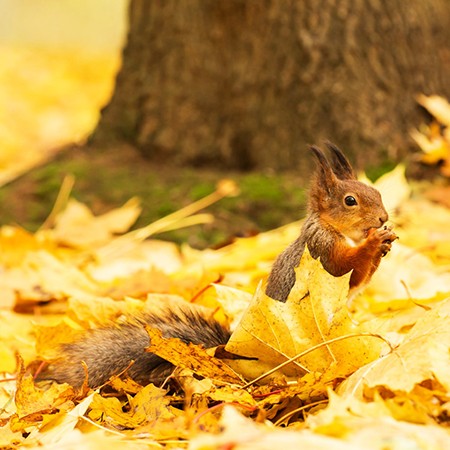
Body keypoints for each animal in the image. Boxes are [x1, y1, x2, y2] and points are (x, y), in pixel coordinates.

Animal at [36, 142, 398, 388]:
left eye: (376, 191)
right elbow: (345, 268)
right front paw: (373, 243)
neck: (332, 229)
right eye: (350, 201)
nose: (383, 217)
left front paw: (384, 244)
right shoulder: (320, 253)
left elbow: (360, 279)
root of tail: (236, 353)